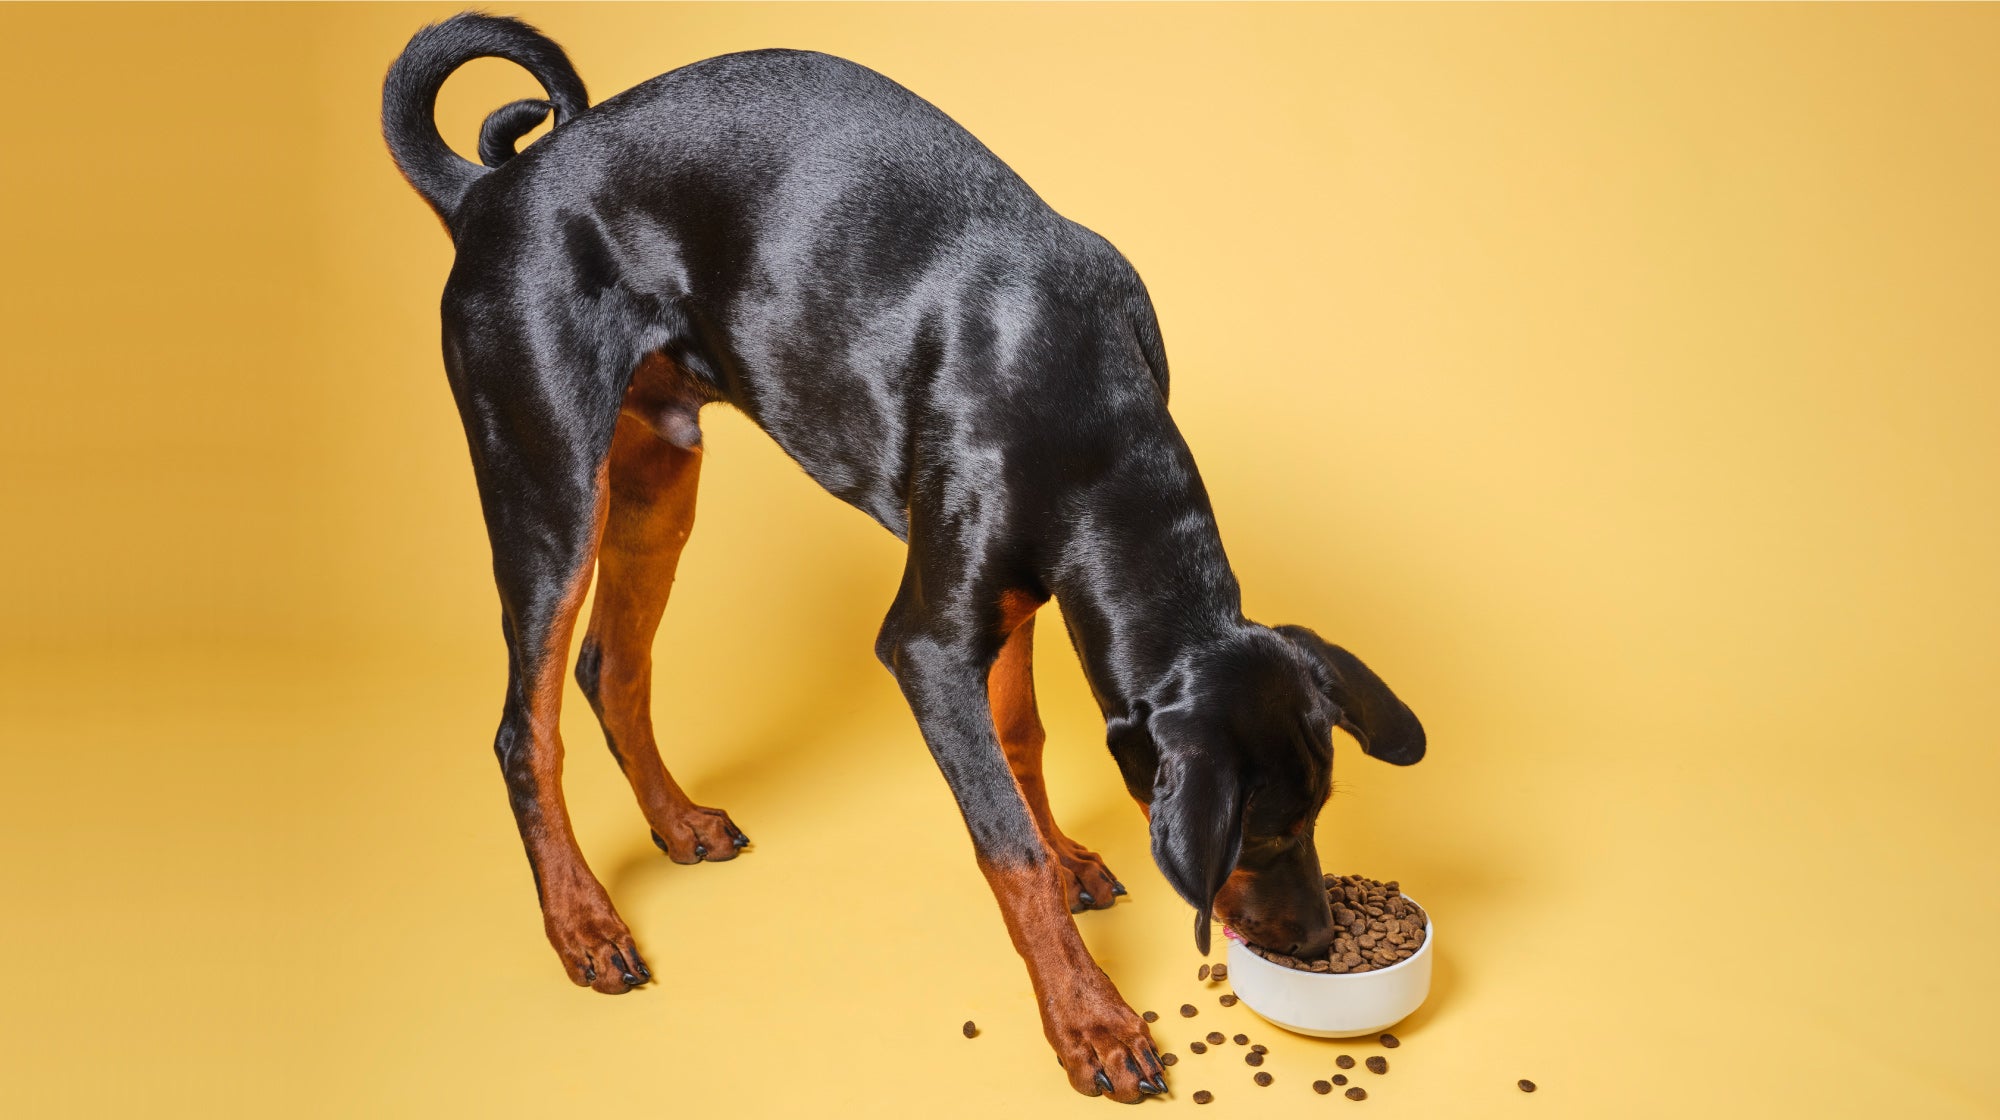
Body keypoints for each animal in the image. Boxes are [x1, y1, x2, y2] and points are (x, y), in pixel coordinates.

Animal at [386, 15, 1424, 1104]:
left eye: (1319, 810)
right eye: (1263, 834)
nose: (1318, 942)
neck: (1088, 414)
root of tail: (491, 190)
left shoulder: (1017, 595)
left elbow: (1019, 738)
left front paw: (1065, 860)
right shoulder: (926, 643)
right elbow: (1003, 843)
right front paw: (1089, 1019)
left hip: (657, 479)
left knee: (610, 667)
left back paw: (677, 824)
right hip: (548, 493)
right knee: (525, 730)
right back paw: (582, 923)